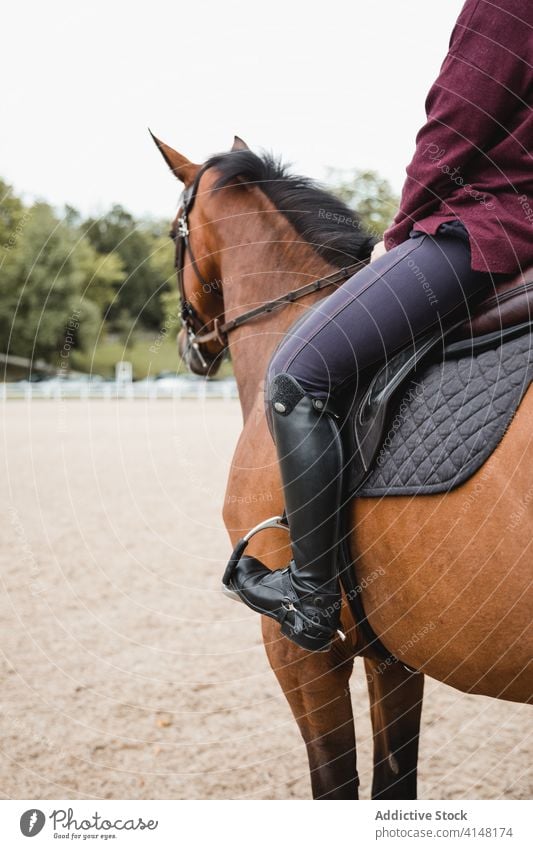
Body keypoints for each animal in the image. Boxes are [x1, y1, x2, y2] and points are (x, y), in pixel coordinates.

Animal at [152, 136, 528, 800]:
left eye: (175, 232)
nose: (188, 348)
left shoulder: (301, 654)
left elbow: (335, 782)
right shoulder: (395, 654)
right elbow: (392, 783)